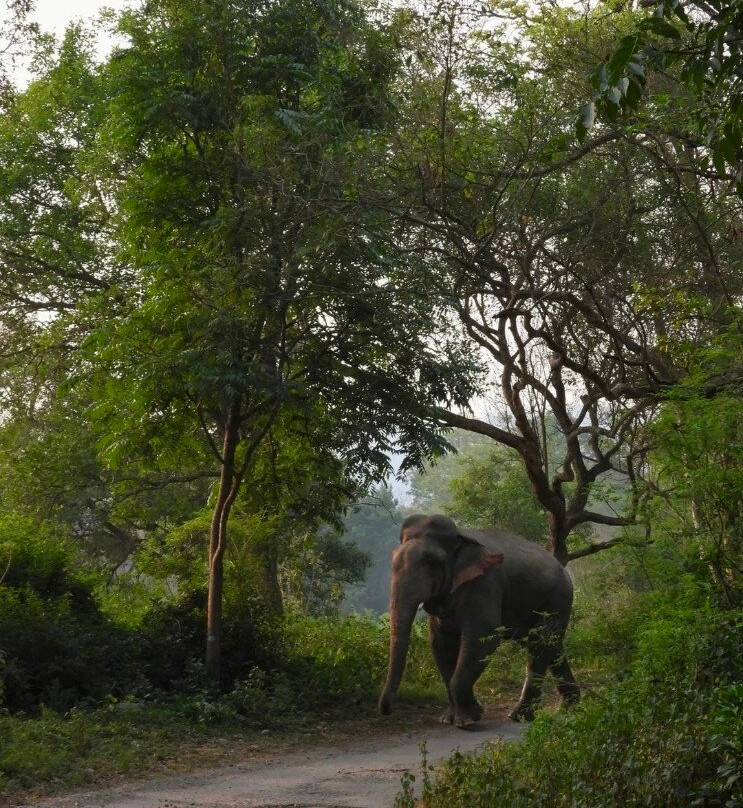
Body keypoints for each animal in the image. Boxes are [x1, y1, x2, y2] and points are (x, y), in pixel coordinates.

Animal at [378, 516, 580, 728]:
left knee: (539, 644)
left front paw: (468, 719)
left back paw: (519, 716)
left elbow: (484, 637)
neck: (461, 536)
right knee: (552, 646)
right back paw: (569, 707)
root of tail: (564, 571)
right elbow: (440, 643)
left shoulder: (485, 583)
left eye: (432, 562)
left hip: (558, 599)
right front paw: (448, 719)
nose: (387, 710)